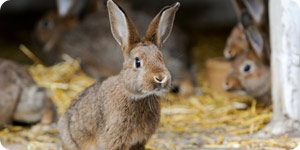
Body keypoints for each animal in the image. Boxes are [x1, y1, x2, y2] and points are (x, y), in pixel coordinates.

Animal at [57, 0, 177, 149]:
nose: (160, 78)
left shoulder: (139, 141)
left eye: (161, 58)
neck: (135, 95)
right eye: (137, 62)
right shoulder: (116, 139)